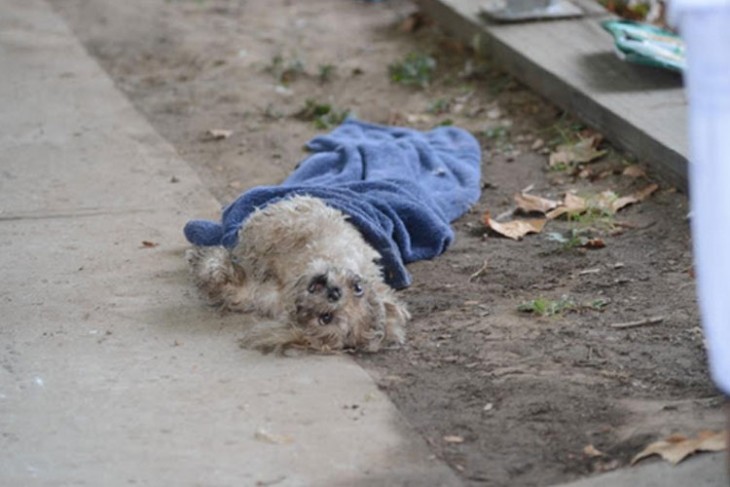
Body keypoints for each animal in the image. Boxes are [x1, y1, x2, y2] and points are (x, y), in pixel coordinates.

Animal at [185, 195, 410, 354]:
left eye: (326, 318)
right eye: (358, 288)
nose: (334, 293)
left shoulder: (256, 294)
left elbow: (232, 285)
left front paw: (211, 267)